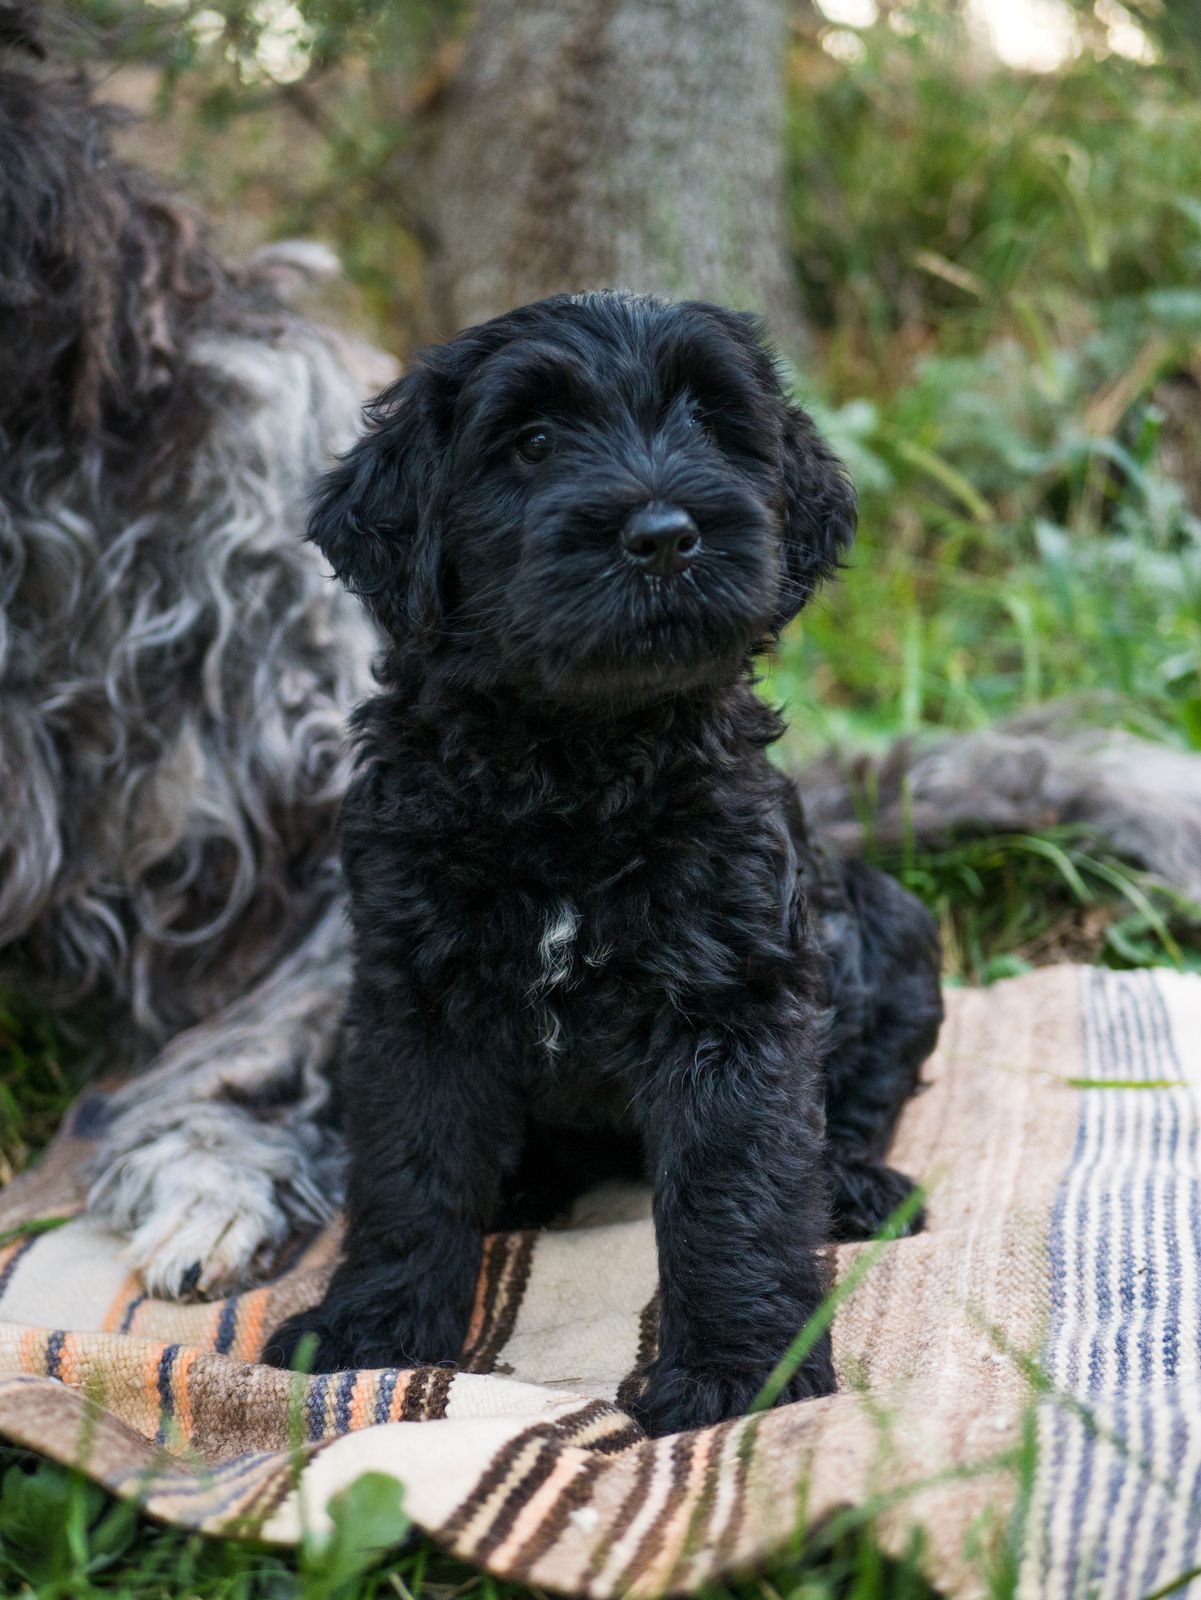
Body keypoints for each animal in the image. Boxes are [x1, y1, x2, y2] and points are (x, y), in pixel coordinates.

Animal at [263, 291, 944, 1436]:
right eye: (533, 442)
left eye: (711, 422)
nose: (664, 537)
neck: (571, 765)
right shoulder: (413, 993)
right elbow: (408, 1169)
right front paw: (373, 1326)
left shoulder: (732, 995)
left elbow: (736, 1182)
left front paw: (737, 1369)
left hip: (895, 932)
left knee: (852, 1098)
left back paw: (854, 1185)